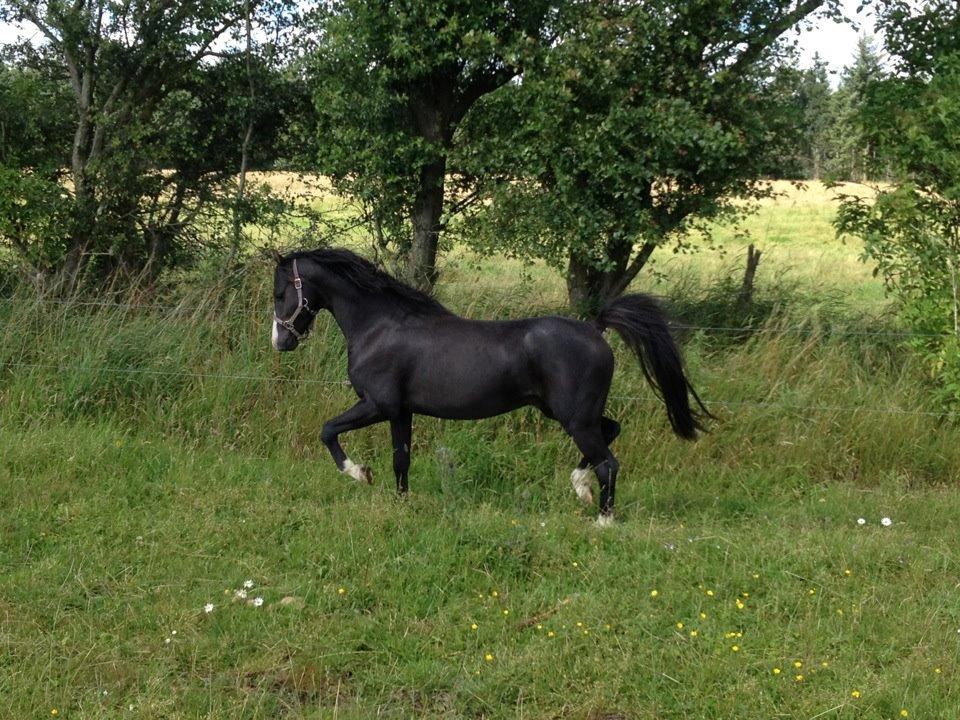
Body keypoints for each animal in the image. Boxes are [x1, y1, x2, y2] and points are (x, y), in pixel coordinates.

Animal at [271, 247, 709, 525]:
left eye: (280, 293)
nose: (280, 342)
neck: (380, 327)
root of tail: (595, 328)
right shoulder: (401, 412)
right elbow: (401, 461)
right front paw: (402, 503)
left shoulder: (377, 405)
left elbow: (328, 430)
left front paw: (360, 473)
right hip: (571, 413)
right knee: (612, 431)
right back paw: (580, 487)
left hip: (574, 417)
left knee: (609, 462)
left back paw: (602, 519)